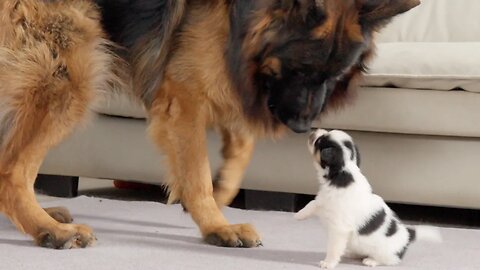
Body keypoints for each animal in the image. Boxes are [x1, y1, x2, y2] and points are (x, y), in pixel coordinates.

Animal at [296, 129, 442, 268]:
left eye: (319, 141)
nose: (313, 131)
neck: (343, 173)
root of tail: (408, 234)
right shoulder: (324, 200)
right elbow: (312, 203)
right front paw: (299, 215)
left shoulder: (339, 229)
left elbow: (333, 249)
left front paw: (328, 263)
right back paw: (352, 254)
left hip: (385, 253)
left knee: (390, 260)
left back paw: (371, 261)